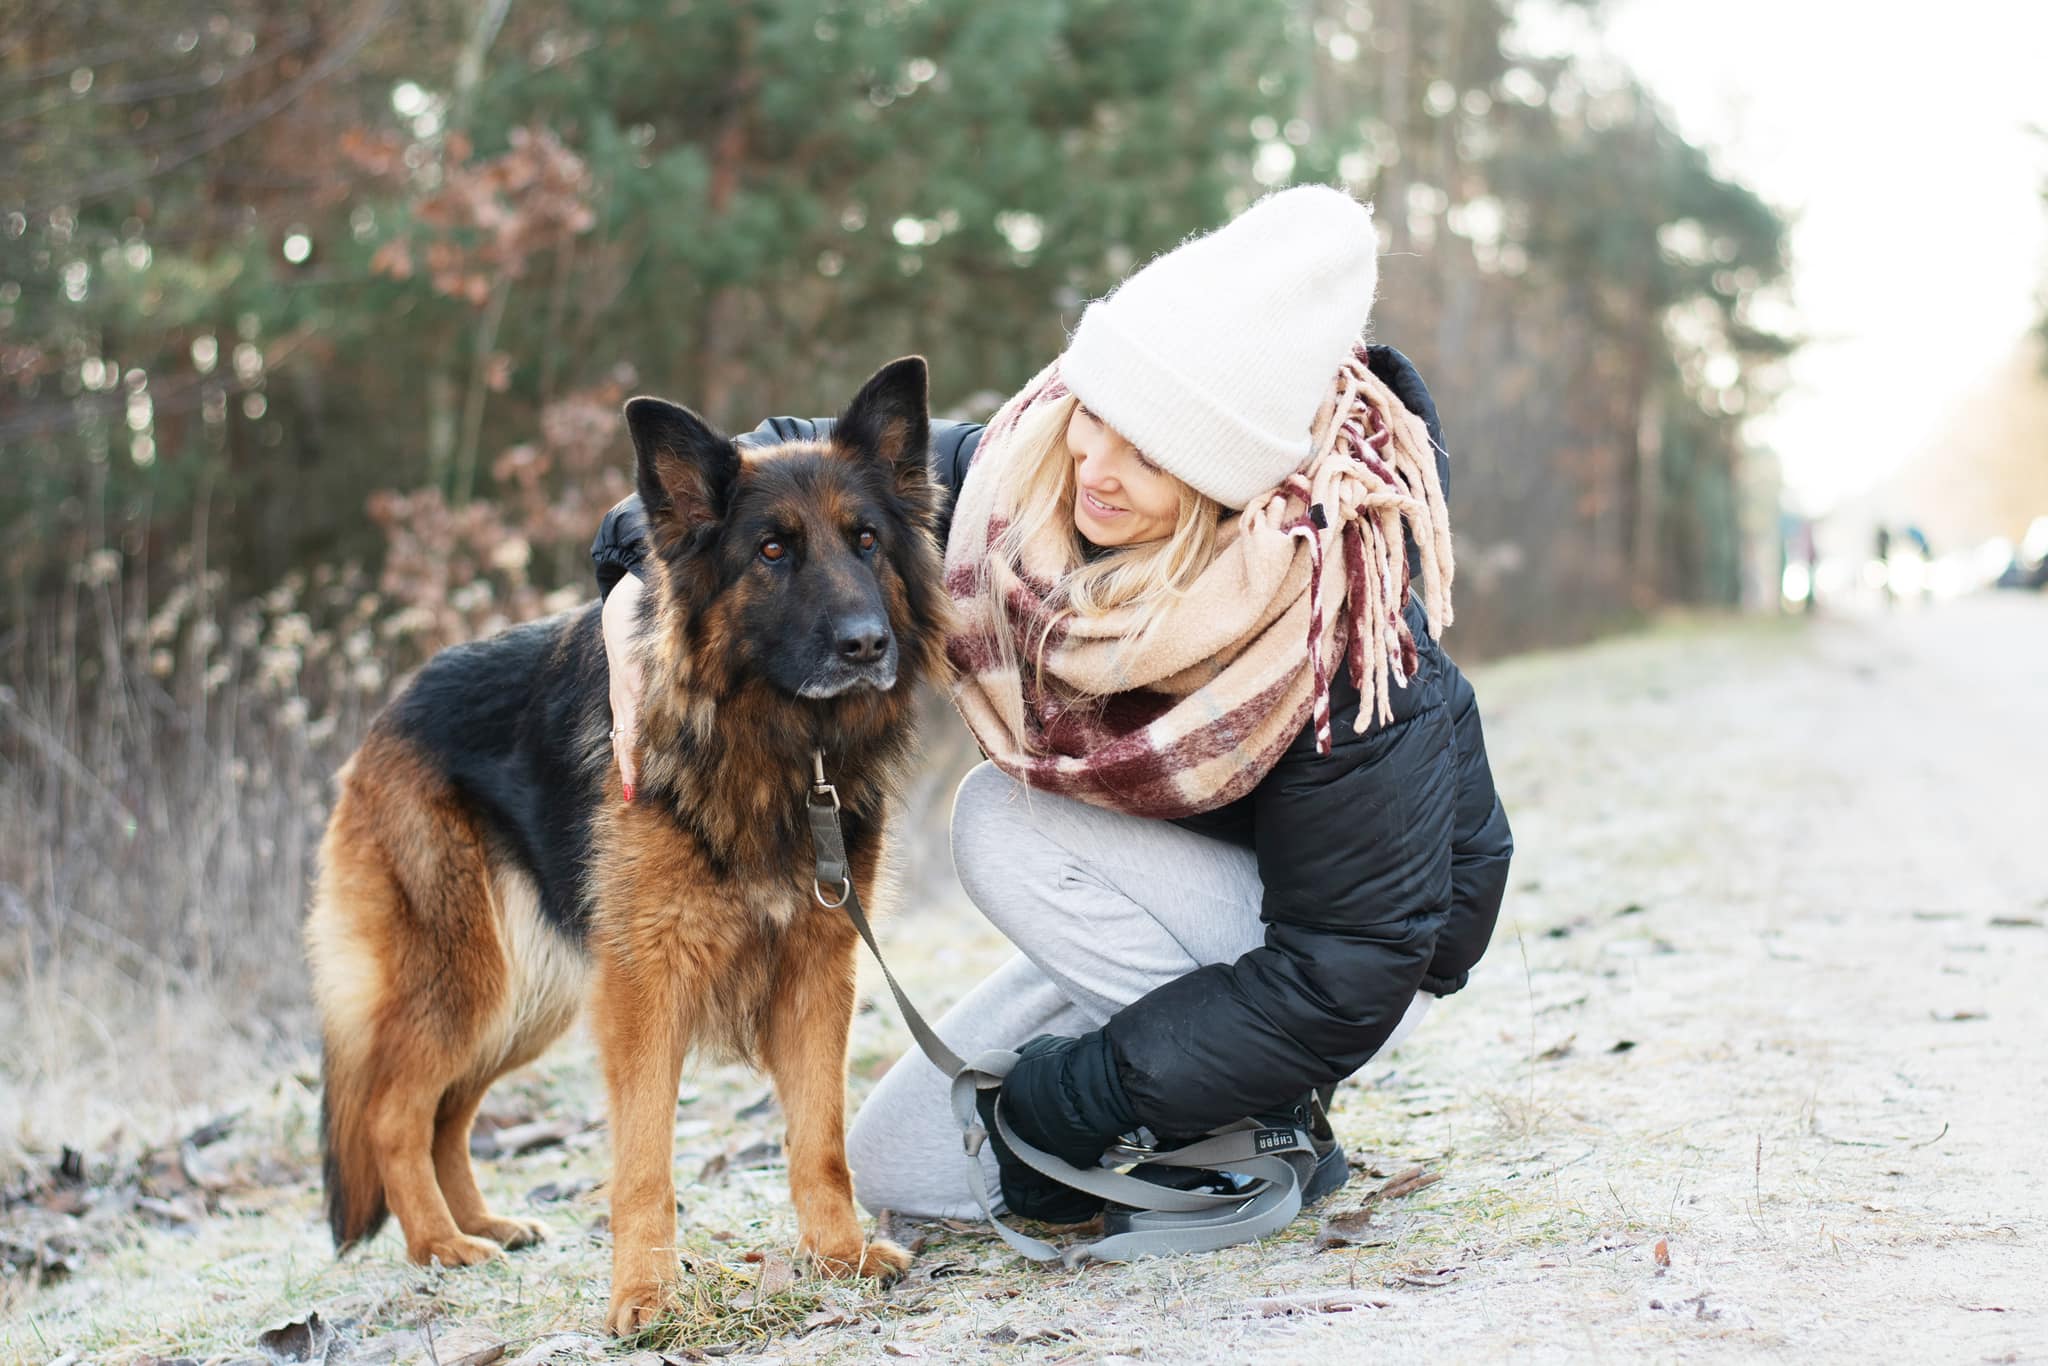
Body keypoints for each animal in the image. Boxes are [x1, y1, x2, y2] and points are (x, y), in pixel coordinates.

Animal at [307, 356, 946, 1335]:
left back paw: (480, 1221)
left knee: (447, 1111)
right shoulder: (647, 983)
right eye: (772, 552)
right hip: (468, 979)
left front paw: (837, 1256)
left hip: (527, 999)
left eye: (867, 540)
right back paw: (440, 1244)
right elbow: (643, 1163)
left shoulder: (815, 969)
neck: (775, 750)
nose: (866, 644)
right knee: (393, 1112)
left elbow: (821, 1138)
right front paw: (646, 1296)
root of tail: (387, 714)